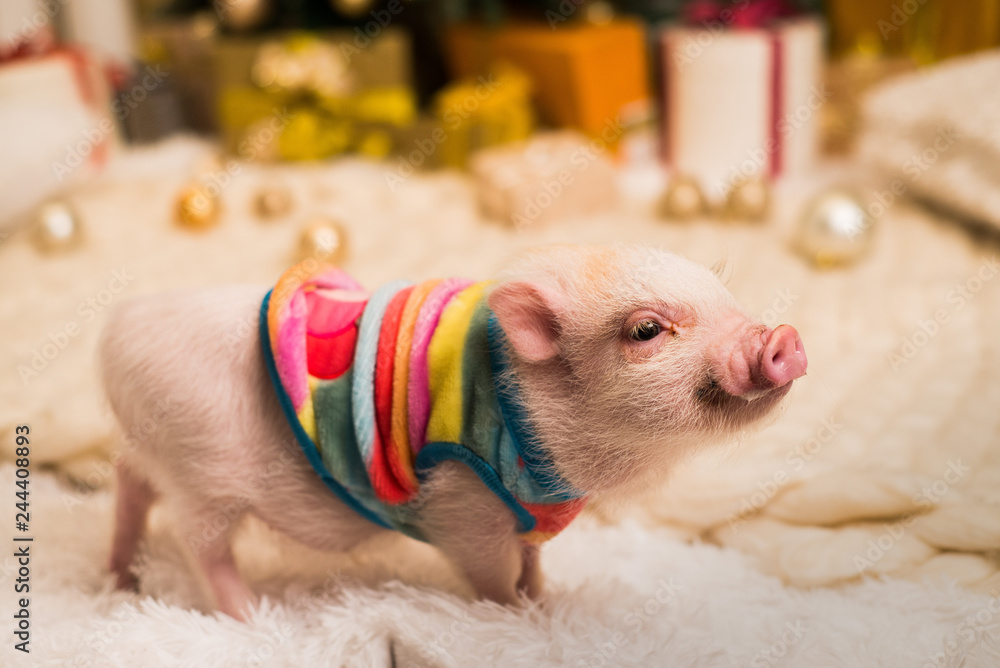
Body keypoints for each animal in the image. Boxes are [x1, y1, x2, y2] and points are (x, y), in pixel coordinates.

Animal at [99, 245, 804, 620]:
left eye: (725, 297)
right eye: (647, 330)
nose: (784, 336)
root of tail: (117, 334)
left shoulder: (527, 516)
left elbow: (533, 563)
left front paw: (544, 600)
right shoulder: (463, 507)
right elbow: (490, 574)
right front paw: (521, 617)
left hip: (153, 453)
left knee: (129, 484)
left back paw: (117, 577)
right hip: (203, 474)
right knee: (197, 541)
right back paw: (248, 612)